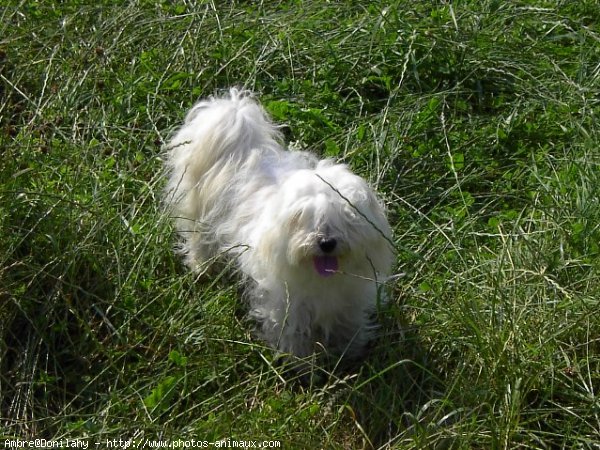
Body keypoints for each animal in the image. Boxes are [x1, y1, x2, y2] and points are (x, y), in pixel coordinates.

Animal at [164, 89, 394, 360]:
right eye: (303, 219)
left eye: (346, 218)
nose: (326, 242)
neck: (320, 279)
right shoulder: (287, 305)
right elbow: (292, 333)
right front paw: (299, 361)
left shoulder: (350, 301)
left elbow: (349, 326)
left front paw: (351, 351)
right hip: (199, 217)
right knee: (198, 241)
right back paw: (202, 268)